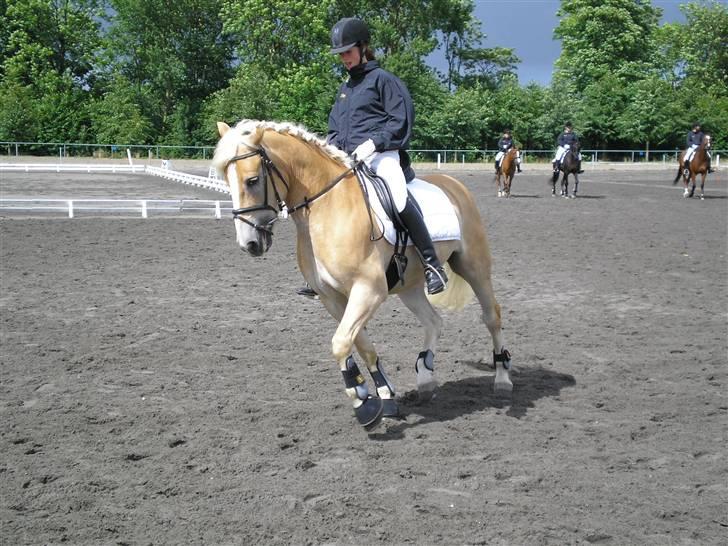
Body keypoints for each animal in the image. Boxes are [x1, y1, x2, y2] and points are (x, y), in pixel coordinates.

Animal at [213, 119, 516, 430]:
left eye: (252, 181)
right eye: (226, 180)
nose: (249, 244)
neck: (327, 209)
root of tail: (454, 184)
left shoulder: (368, 290)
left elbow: (340, 342)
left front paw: (363, 404)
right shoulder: (332, 297)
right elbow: (360, 343)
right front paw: (383, 396)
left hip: (474, 266)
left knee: (492, 316)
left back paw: (502, 379)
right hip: (410, 286)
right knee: (434, 321)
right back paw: (425, 379)